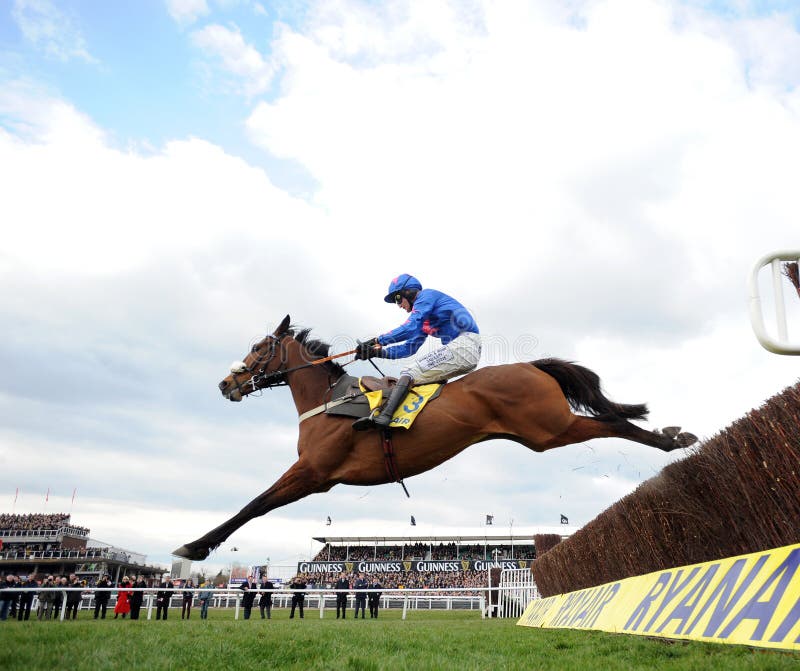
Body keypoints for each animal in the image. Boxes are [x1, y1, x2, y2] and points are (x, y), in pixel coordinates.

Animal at [172, 316, 696, 560]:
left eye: (259, 347)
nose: (226, 383)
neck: (329, 401)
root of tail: (532, 365)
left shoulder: (314, 473)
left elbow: (254, 504)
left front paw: (194, 546)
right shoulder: (314, 475)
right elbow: (255, 504)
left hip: (550, 429)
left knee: (615, 425)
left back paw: (672, 441)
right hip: (546, 431)